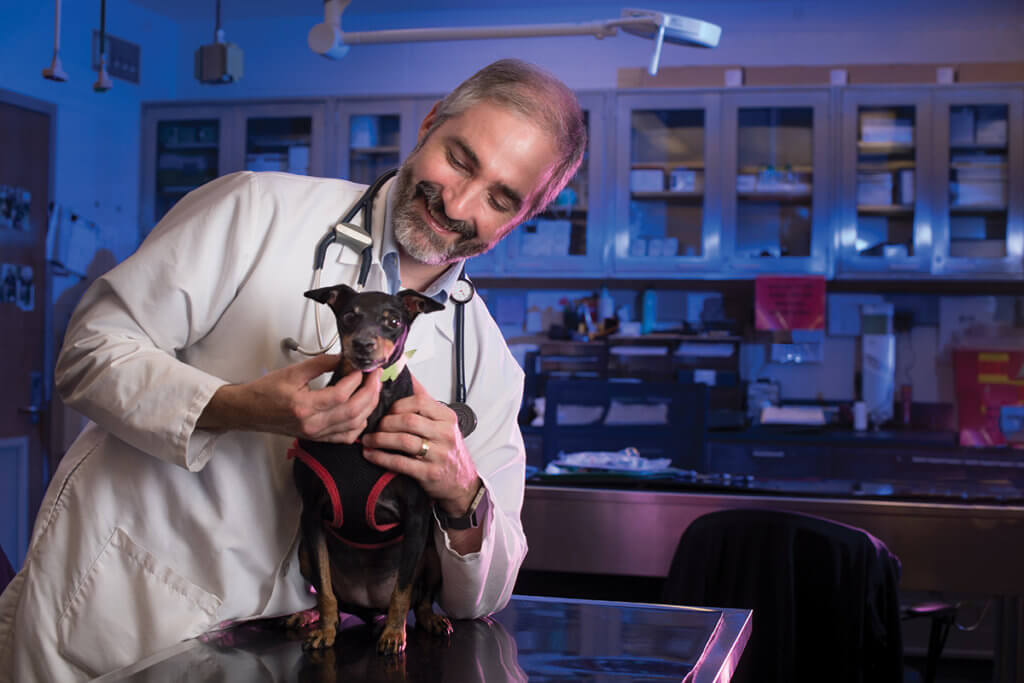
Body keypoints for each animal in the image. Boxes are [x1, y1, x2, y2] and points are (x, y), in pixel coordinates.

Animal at [288, 284, 448, 655]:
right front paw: (326, 630)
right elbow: (325, 590)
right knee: (325, 594)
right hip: (304, 552)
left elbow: (402, 592)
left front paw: (393, 634)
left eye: (393, 321)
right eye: (349, 316)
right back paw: (310, 616)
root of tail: (366, 610)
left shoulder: (416, 519)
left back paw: (428, 620)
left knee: (421, 598)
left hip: (432, 557)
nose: (362, 344)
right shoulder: (311, 516)